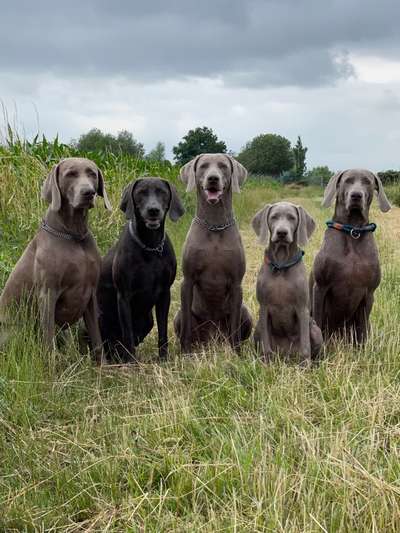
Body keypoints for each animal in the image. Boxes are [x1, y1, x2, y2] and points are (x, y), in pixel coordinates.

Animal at [0, 156, 111, 360]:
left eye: (92, 173)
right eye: (70, 174)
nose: (88, 193)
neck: (74, 235)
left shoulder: (91, 294)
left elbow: (97, 340)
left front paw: (104, 367)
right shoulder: (48, 293)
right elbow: (48, 340)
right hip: (15, 330)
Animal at [97, 176, 185, 362]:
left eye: (162, 192)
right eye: (141, 193)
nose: (153, 210)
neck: (150, 246)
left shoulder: (164, 294)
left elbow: (163, 332)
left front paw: (163, 359)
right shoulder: (124, 297)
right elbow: (128, 335)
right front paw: (132, 363)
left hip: (148, 319)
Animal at [173, 153, 252, 354]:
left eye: (223, 166)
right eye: (203, 166)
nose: (213, 179)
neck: (215, 226)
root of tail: (213, 339)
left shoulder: (236, 283)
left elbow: (235, 326)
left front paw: (236, 354)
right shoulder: (187, 280)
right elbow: (186, 325)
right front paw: (185, 353)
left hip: (246, 313)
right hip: (178, 316)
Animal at [253, 202, 322, 364]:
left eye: (292, 218)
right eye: (273, 217)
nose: (282, 233)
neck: (281, 265)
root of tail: (287, 355)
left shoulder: (302, 308)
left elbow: (305, 345)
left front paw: (305, 366)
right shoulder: (264, 307)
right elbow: (266, 343)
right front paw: (266, 363)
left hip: (315, 329)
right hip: (257, 327)